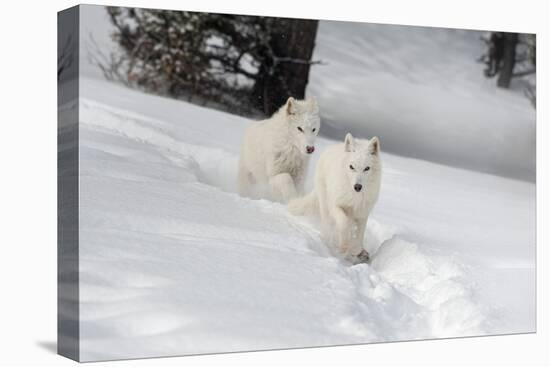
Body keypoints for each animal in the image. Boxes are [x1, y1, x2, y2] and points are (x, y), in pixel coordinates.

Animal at [288, 134, 384, 264]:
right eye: (351, 167)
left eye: (367, 168)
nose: (357, 187)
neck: (354, 197)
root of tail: (331, 148)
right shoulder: (335, 206)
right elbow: (344, 223)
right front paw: (344, 246)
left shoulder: (362, 214)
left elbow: (359, 237)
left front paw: (355, 250)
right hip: (325, 206)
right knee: (328, 228)